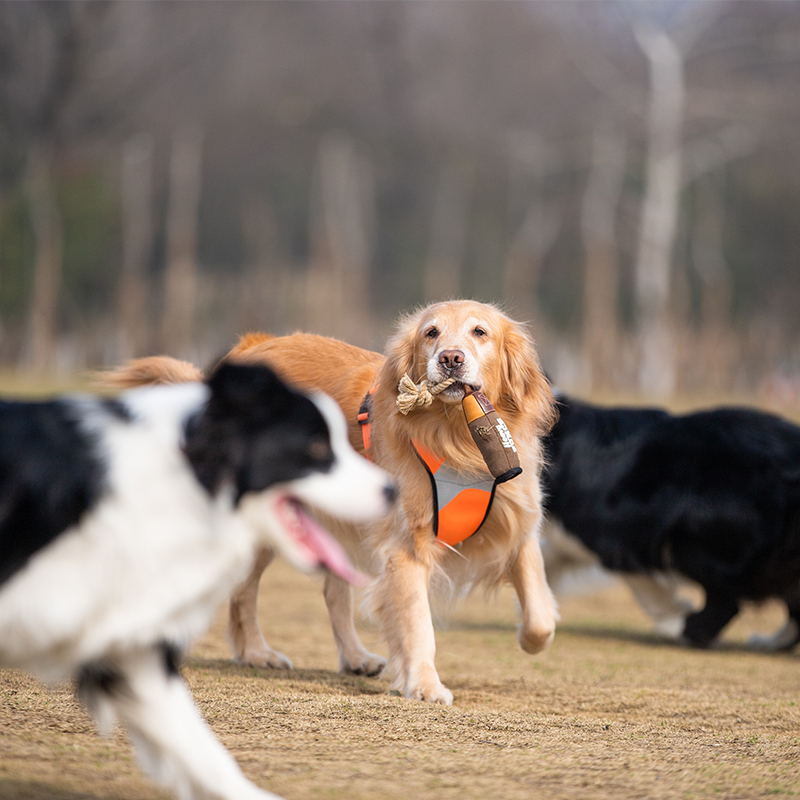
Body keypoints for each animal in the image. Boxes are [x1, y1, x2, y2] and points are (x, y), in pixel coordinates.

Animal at [111, 302, 556, 708]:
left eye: (480, 332)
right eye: (431, 333)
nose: (450, 358)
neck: (458, 439)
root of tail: (250, 347)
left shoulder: (519, 524)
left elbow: (539, 614)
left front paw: (527, 637)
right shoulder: (407, 545)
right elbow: (417, 623)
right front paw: (425, 685)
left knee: (332, 593)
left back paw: (355, 657)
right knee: (242, 592)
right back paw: (256, 652)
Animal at [540, 394, 800, 648]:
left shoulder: (616, 539)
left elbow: (646, 590)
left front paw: (673, 618)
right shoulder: (565, 540)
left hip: (694, 538)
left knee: (725, 605)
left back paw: (682, 630)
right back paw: (767, 642)